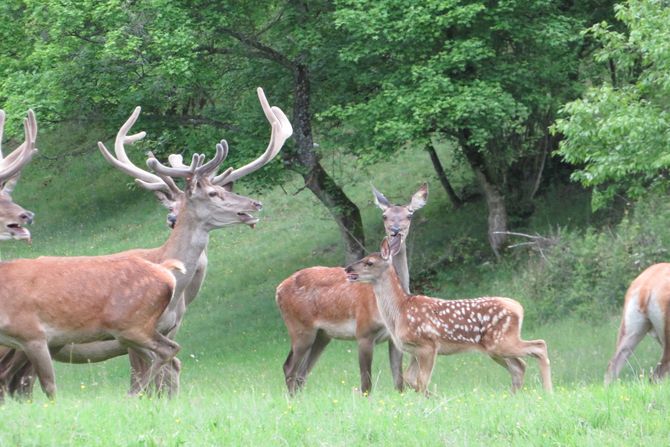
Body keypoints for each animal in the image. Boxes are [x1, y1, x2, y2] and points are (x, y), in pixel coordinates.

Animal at [0, 258, 186, 400]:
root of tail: (166, 271)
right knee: (167, 360)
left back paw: (130, 395)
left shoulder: (33, 335)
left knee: (169, 349)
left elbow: (48, 385)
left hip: (133, 326)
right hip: (130, 332)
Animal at [278, 184, 430, 394]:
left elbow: (398, 382)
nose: (395, 231)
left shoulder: (394, 339)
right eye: (385, 215)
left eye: (409, 214)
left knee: (301, 372)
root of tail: (278, 290)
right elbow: (366, 384)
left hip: (321, 335)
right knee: (289, 368)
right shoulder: (363, 331)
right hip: (300, 328)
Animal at [344, 238, 552, 396]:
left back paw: (548, 391)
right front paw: (432, 397)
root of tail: (519, 308)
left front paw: (430, 398)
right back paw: (514, 396)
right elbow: (411, 380)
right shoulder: (413, 350)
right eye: (363, 258)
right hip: (495, 348)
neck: (400, 311)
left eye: (369, 262)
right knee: (520, 366)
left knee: (540, 346)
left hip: (500, 341)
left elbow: (421, 381)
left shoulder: (428, 344)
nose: (348, 269)